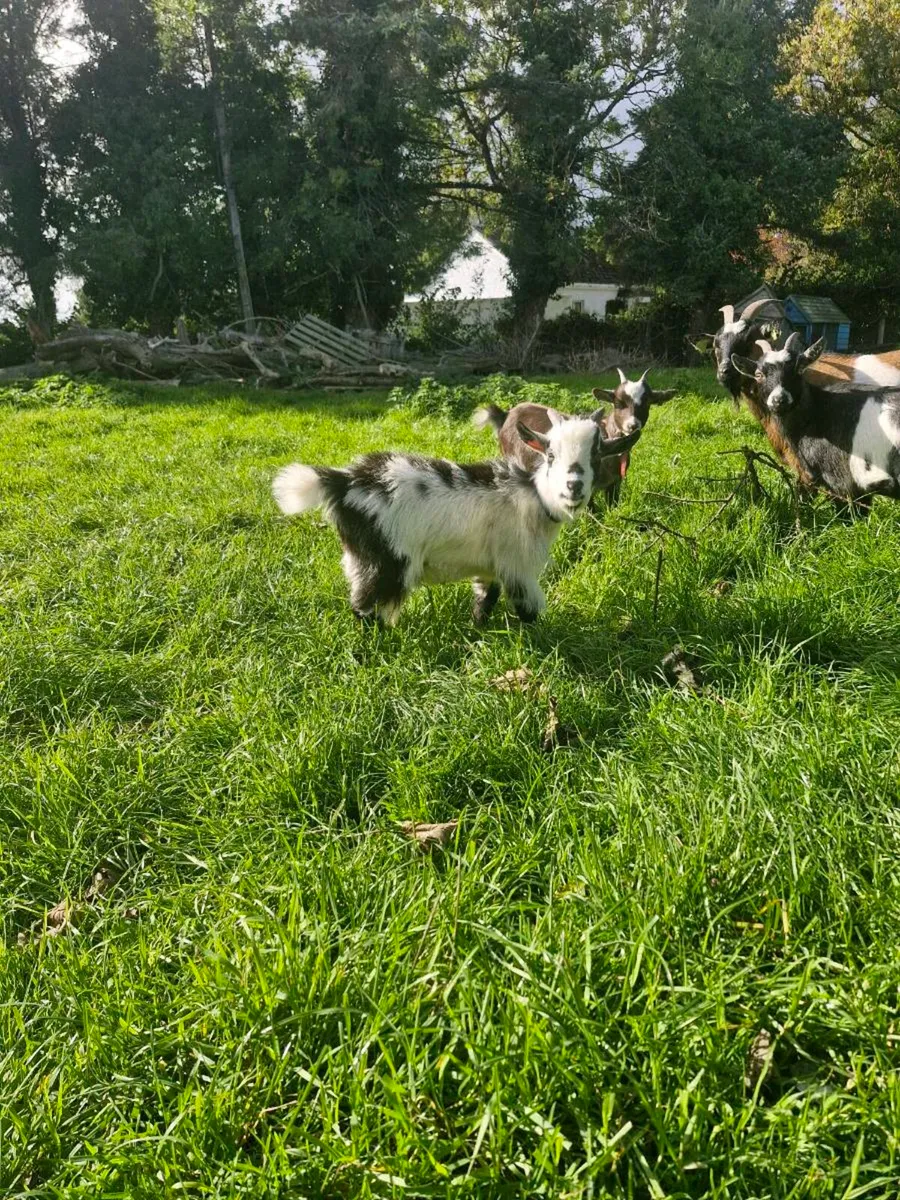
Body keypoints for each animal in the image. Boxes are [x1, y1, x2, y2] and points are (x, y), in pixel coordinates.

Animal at [272, 416, 641, 625]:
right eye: (550, 455)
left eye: (596, 455)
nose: (574, 486)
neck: (534, 497)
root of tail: (342, 482)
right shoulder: (518, 565)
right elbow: (529, 610)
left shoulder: (491, 565)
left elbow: (485, 600)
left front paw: (477, 632)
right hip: (386, 558)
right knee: (366, 608)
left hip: (360, 558)